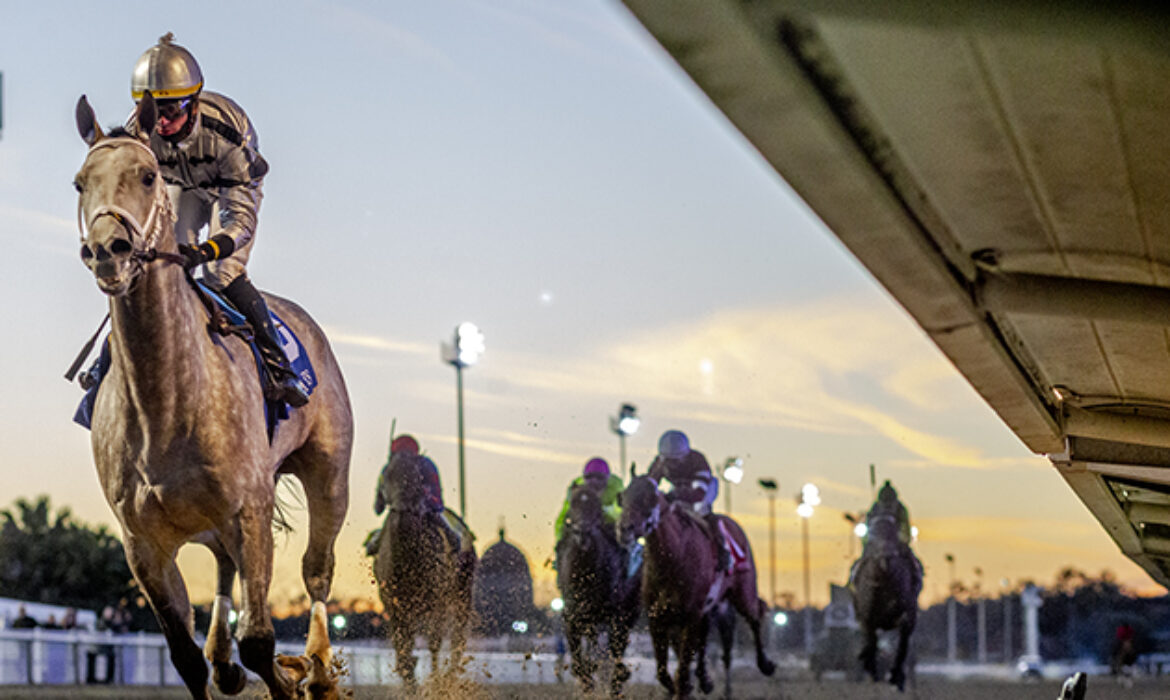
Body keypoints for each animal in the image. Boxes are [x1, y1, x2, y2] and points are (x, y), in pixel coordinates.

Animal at [73, 94, 353, 700]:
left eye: (147, 175)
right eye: (80, 182)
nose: (108, 251)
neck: (165, 404)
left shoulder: (251, 510)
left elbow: (262, 642)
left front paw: (291, 676)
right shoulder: (143, 543)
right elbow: (184, 657)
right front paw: (223, 662)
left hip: (328, 475)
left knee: (317, 570)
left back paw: (318, 666)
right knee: (225, 574)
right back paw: (227, 658)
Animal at [374, 451, 475, 688]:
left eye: (419, 475)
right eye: (387, 475)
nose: (405, 505)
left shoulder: (437, 602)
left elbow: (434, 644)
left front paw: (436, 681)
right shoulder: (395, 607)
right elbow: (403, 651)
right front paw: (409, 680)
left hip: (463, 591)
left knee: (457, 635)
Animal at [554, 484, 641, 697]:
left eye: (595, 507)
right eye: (573, 504)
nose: (582, 532)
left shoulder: (614, 614)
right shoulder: (572, 615)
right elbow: (579, 659)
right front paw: (586, 679)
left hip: (628, 612)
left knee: (616, 648)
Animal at [617, 475, 772, 697]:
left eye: (649, 498)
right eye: (623, 497)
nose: (624, 529)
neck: (673, 559)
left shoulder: (689, 616)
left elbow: (682, 672)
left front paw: (685, 686)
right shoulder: (658, 617)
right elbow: (664, 672)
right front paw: (683, 685)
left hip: (744, 591)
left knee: (755, 616)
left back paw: (765, 664)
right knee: (705, 636)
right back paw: (704, 679)